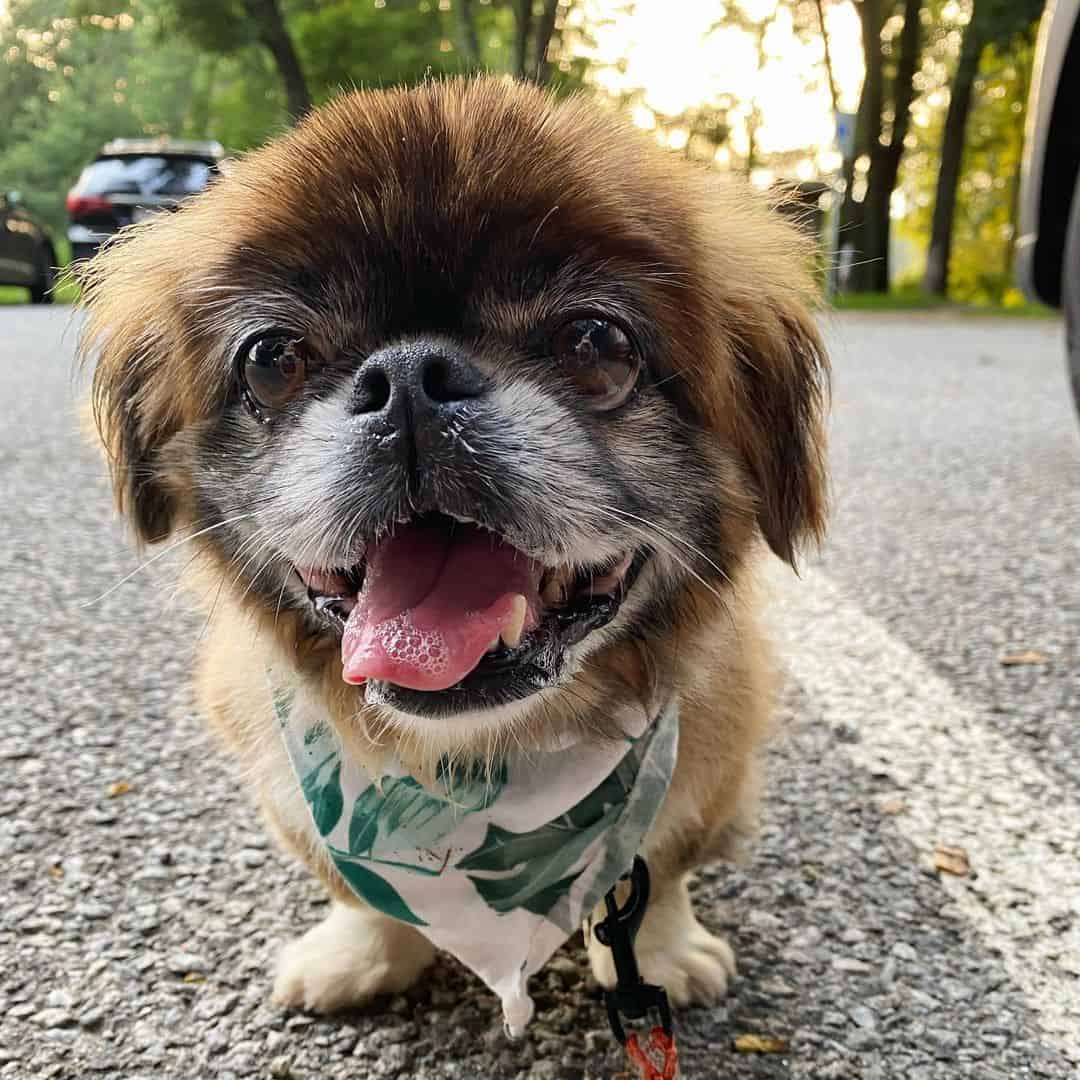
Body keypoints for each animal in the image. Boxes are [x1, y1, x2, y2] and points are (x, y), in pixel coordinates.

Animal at [79, 78, 825, 1028]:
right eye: (273, 359)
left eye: (595, 343)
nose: (407, 376)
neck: (469, 769)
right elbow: (361, 894)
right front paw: (360, 954)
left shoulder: (712, 750)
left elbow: (658, 871)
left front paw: (660, 953)